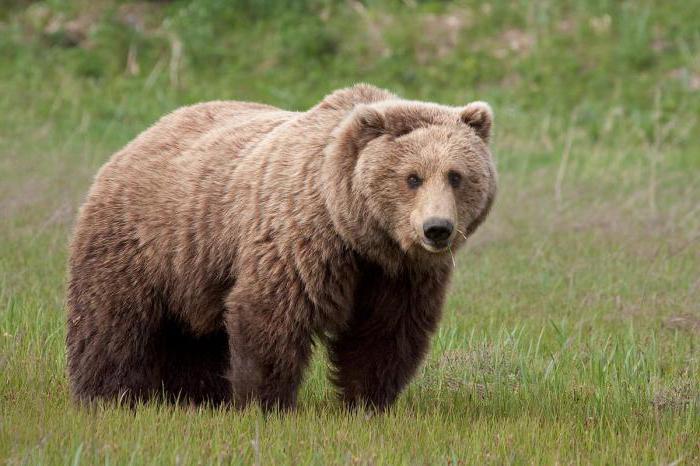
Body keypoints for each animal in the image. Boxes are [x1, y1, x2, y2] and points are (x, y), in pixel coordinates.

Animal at [64, 84, 492, 412]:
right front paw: (265, 403)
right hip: (143, 241)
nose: (437, 229)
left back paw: (197, 397)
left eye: (456, 176)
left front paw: (366, 402)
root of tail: (141, 136)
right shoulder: (301, 242)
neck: (357, 233)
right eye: (412, 177)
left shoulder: (399, 275)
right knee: (113, 320)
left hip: (197, 265)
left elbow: (385, 332)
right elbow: (273, 315)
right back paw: (109, 394)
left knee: (197, 336)